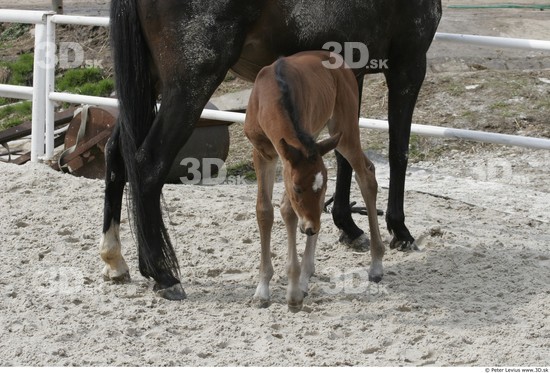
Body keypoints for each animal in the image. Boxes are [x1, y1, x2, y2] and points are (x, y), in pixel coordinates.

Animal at [100, 0, 444, 296]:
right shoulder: (408, 65)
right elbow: (398, 151)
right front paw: (400, 231)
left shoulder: (351, 74)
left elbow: (343, 158)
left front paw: (348, 226)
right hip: (188, 86)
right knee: (148, 164)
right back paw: (163, 274)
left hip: (152, 81)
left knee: (117, 155)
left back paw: (116, 260)